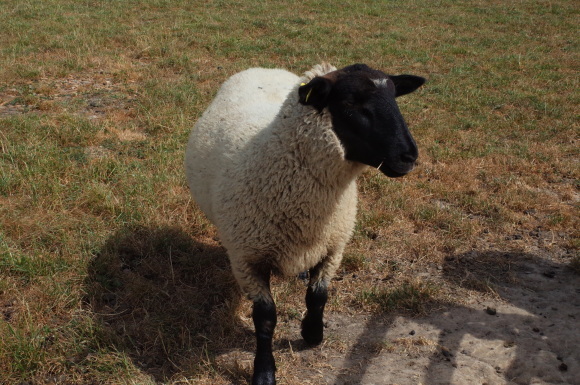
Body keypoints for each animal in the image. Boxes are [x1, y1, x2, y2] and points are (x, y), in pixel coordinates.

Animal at [186, 63, 426, 384]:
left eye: (395, 98)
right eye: (350, 103)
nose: (409, 157)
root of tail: (263, 66)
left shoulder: (333, 247)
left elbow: (318, 296)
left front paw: (313, 334)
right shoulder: (248, 259)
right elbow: (265, 318)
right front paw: (264, 371)